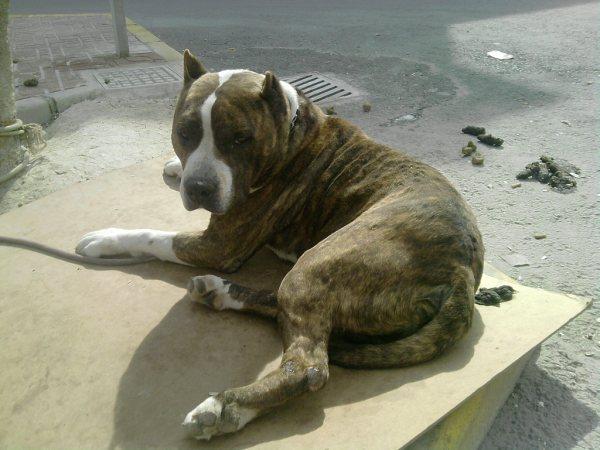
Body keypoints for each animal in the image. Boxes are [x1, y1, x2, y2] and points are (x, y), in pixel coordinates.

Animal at [76, 50, 488, 440]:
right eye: (185, 132)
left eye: (240, 138)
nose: (199, 188)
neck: (291, 133)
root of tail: (462, 265)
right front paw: (176, 168)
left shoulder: (219, 245)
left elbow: (153, 236)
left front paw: (107, 238)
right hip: (313, 275)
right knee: (285, 310)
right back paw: (220, 293)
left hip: (320, 262)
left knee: (308, 367)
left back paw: (225, 407)